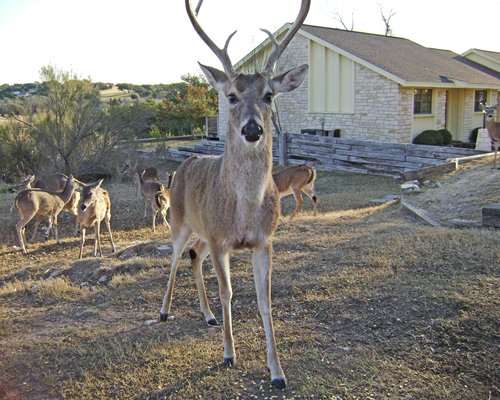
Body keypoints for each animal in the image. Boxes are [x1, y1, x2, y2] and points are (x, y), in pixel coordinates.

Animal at [158, 0, 310, 388]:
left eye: (269, 95)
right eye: (231, 96)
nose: (252, 129)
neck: (243, 212)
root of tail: (182, 166)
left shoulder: (264, 240)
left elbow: (264, 299)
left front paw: (277, 371)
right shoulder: (220, 240)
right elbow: (227, 292)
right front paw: (229, 353)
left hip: (201, 231)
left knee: (193, 256)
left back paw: (208, 315)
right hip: (179, 220)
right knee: (174, 257)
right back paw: (164, 311)